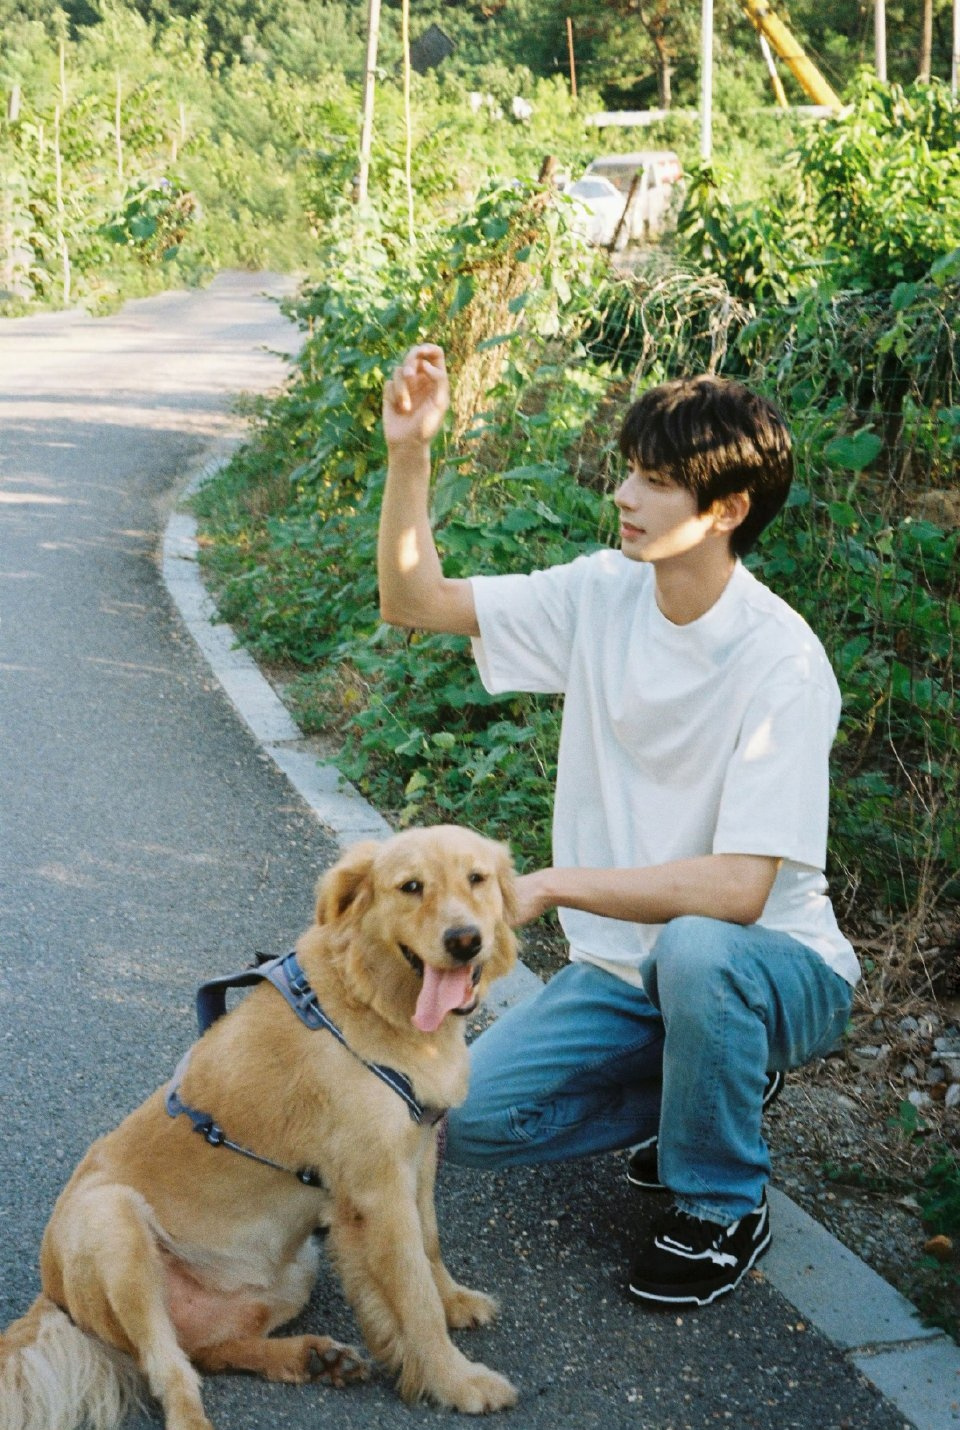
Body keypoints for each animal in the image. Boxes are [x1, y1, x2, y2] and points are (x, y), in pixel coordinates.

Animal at [0, 825, 519, 1429]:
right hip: (111, 1223)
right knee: (169, 1369)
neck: (368, 1002)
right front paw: (456, 1379)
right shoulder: (378, 1193)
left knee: (207, 1350)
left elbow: (430, 1243)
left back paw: (310, 1357)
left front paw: (454, 1300)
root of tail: (50, 1294)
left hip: (297, 1268)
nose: (465, 940)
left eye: (477, 879)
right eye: (411, 886)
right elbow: (414, 1297)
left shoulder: (417, 1157)